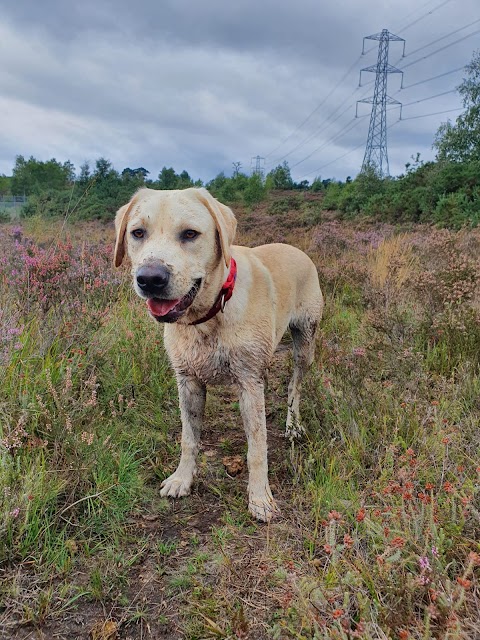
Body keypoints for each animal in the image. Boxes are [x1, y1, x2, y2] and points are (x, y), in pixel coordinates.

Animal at [114, 188, 322, 524]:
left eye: (190, 234)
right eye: (137, 233)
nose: (150, 279)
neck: (208, 316)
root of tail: (296, 249)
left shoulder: (249, 381)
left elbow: (257, 446)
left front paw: (260, 497)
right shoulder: (187, 381)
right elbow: (189, 437)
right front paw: (182, 479)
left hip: (305, 344)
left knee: (295, 385)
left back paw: (292, 425)